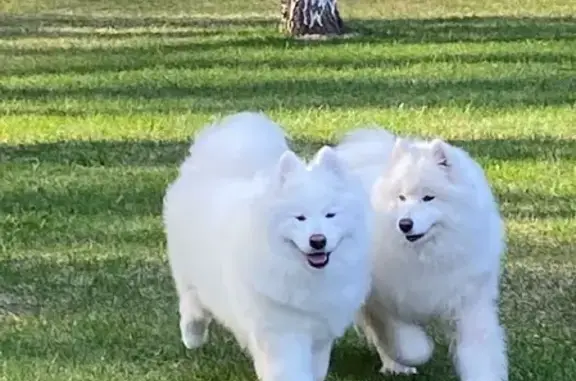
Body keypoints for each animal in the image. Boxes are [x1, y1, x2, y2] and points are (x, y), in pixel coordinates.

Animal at [162, 110, 374, 380]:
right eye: (300, 217)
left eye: (330, 215)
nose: (318, 240)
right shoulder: (281, 333)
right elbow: (291, 370)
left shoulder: (320, 331)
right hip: (190, 275)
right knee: (192, 305)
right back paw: (192, 337)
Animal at [336, 127, 506, 380]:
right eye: (401, 197)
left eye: (428, 197)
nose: (405, 224)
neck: (428, 256)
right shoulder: (386, 301)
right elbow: (409, 345)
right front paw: (415, 354)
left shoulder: (469, 302)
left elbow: (479, 353)